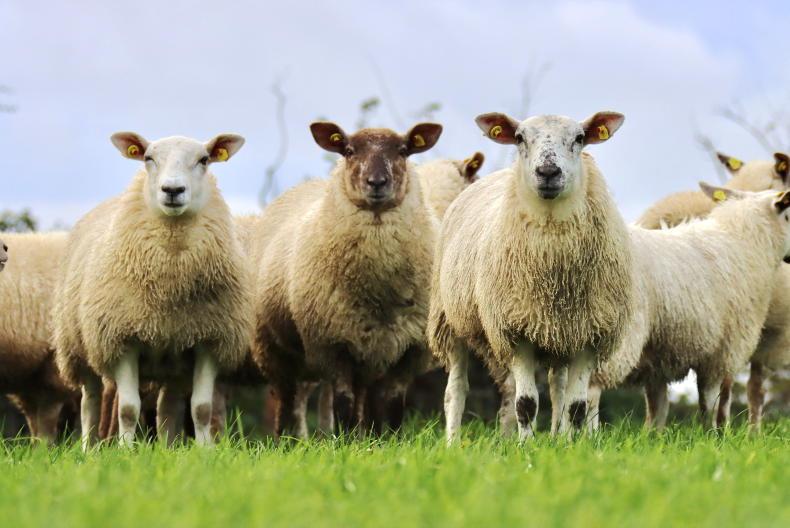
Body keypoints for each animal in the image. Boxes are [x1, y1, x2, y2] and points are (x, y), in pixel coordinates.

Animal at [52, 132, 252, 447]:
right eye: (148, 158)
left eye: (204, 160)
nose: (172, 190)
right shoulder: (123, 339)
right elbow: (127, 409)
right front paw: (125, 451)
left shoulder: (209, 340)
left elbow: (202, 408)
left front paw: (206, 452)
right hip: (79, 347)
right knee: (90, 400)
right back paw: (88, 448)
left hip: (176, 358)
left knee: (167, 407)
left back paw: (168, 448)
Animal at [248, 121, 443, 436]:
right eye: (349, 151)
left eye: (403, 150)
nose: (376, 182)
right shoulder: (333, 343)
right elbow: (343, 403)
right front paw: (345, 441)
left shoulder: (410, 348)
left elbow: (392, 406)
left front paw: (389, 440)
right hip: (273, 349)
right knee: (286, 402)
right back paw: (285, 440)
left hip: (367, 356)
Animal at [428, 111, 632, 443]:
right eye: (519, 138)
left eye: (579, 138)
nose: (548, 171)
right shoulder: (515, 329)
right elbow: (526, 403)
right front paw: (526, 447)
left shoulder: (589, 332)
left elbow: (575, 406)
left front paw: (569, 445)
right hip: (450, 319)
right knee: (456, 390)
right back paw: (453, 443)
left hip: (557, 334)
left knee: (552, 389)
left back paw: (538, 437)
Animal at [591, 185, 790, 430]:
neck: (744, 243)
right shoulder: (721, 350)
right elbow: (711, 401)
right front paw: (711, 433)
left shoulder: (657, 358)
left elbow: (657, 408)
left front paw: (652, 435)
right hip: (618, 333)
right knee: (590, 388)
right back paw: (588, 434)